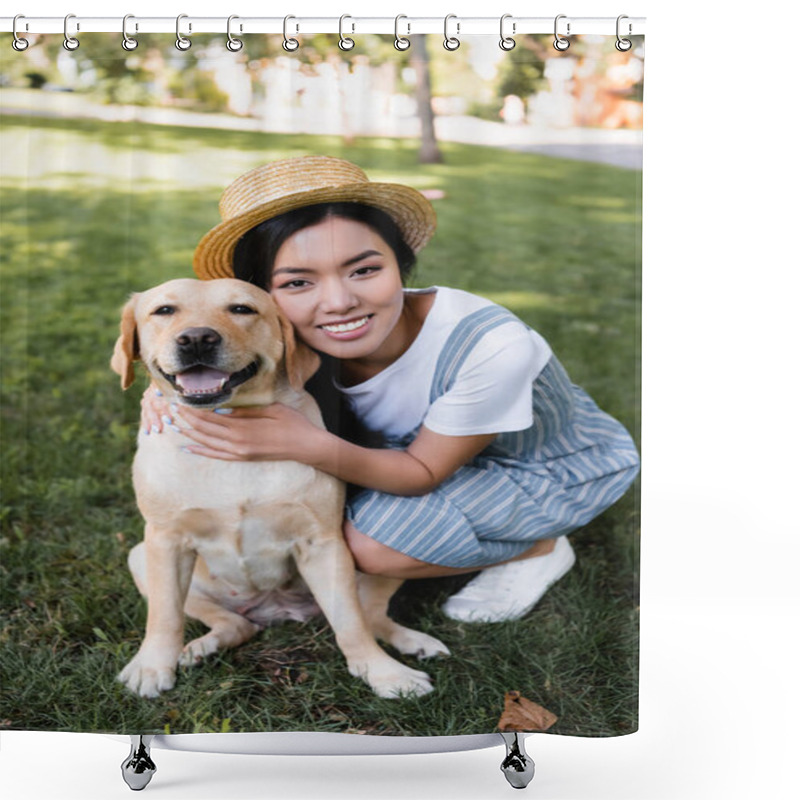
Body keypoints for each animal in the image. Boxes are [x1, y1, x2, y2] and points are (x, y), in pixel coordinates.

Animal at [109, 280, 446, 700]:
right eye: (165, 310)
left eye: (241, 309)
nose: (197, 338)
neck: (234, 434)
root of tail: (275, 609)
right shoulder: (165, 542)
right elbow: (164, 616)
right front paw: (152, 666)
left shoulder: (322, 542)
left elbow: (351, 622)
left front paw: (385, 674)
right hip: (140, 556)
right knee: (236, 624)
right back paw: (199, 648)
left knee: (368, 614)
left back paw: (415, 642)